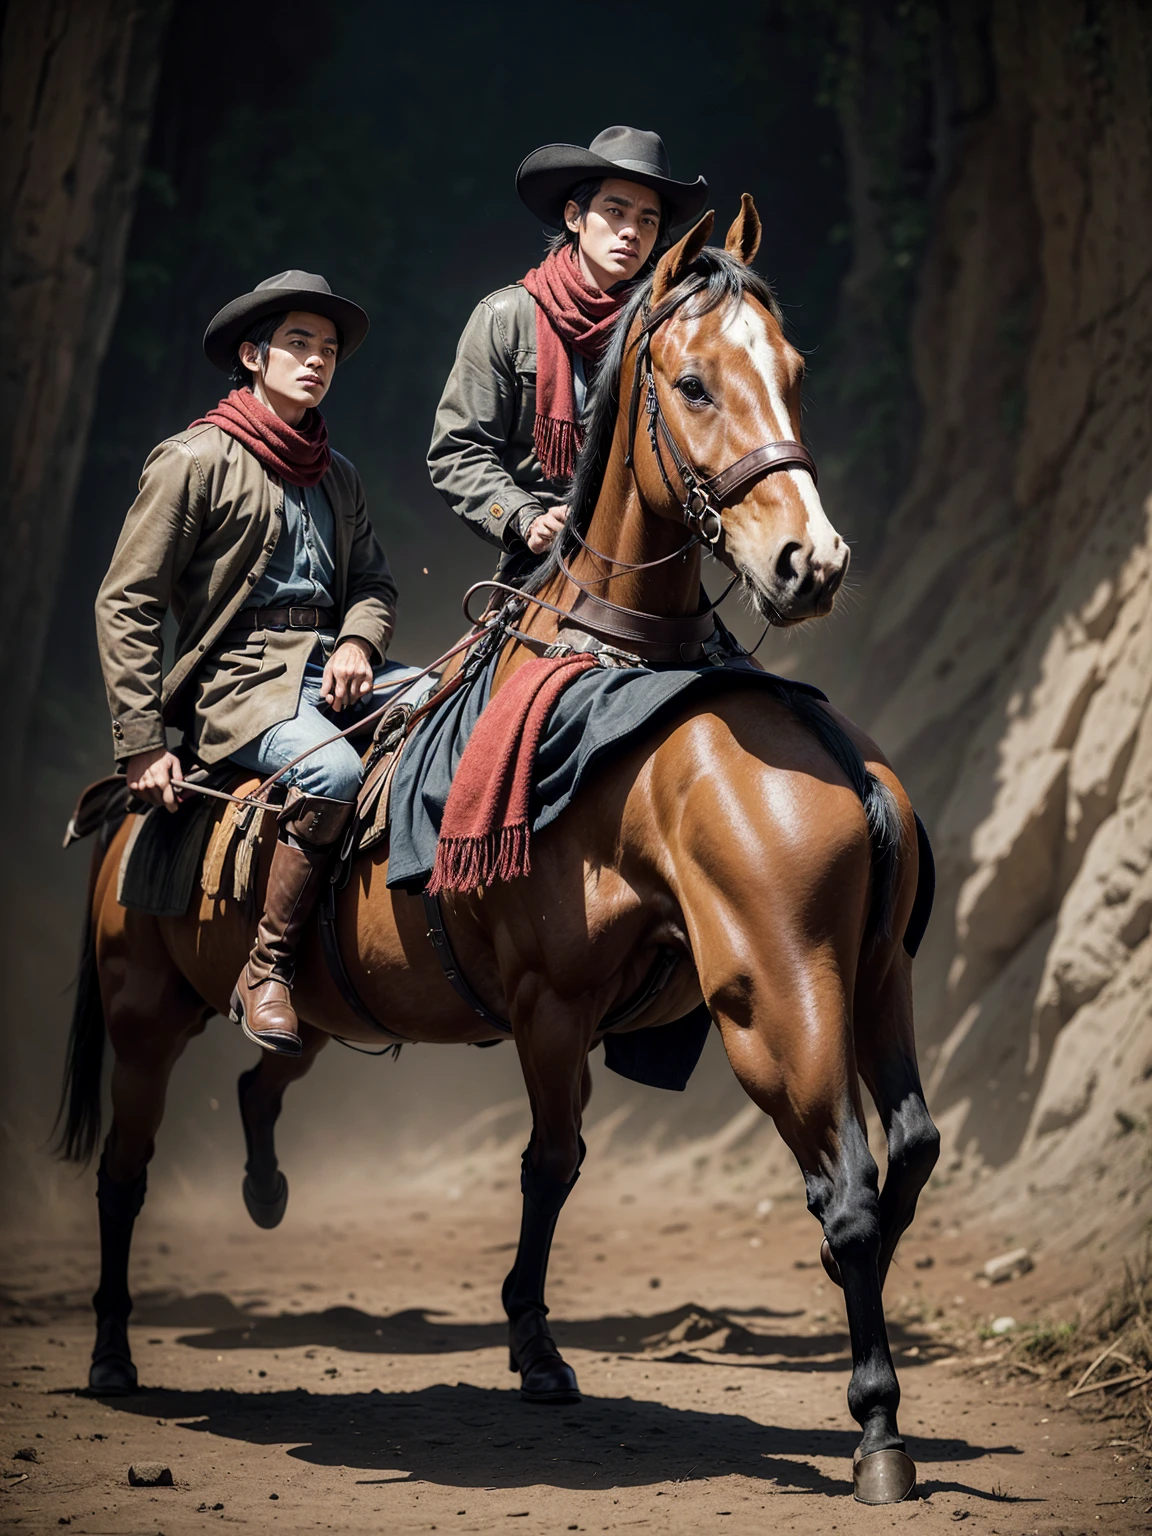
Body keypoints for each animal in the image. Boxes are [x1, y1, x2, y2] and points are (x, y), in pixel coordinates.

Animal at [56, 198, 940, 1505]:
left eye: (790, 373)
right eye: (693, 381)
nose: (811, 564)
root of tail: (137, 791)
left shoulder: (732, 992)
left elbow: (555, 1165)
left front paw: (534, 1341)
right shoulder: (556, 1004)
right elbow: (553, 1162)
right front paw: (534, 1342)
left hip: (846, 991)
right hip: (149, 1011)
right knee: (125, 1169)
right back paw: (115, 1353)